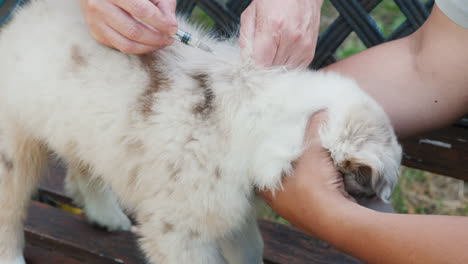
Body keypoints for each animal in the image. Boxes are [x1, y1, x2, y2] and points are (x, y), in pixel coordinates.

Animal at [0, 0, 402, 264]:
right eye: (368, 188)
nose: (385, 213)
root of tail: (25, 16)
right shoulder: (178, 230)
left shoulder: (234, 213)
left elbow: (250, 251)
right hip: (15, 146)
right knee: (10, 210)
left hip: (86, 129)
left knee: (83, 168)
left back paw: (105, 214)